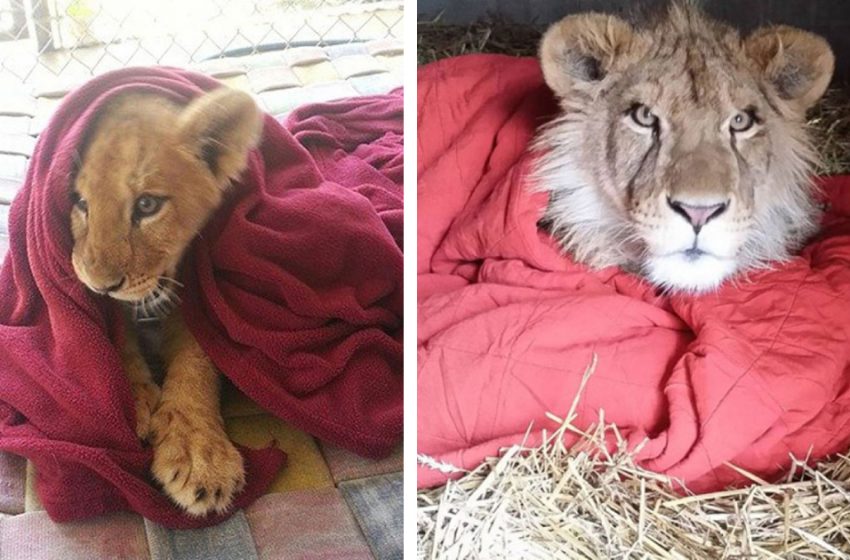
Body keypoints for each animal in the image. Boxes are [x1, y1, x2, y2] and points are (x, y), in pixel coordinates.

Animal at [69, 88, 262, 516]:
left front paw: (199, 455)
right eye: (79, 202)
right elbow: (119, 335)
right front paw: (132, 399)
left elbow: (198, 356)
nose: (101, 284)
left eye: (147, 205)